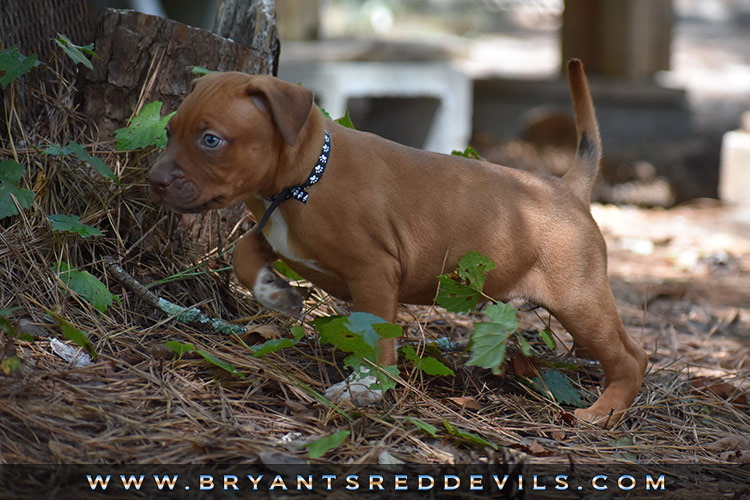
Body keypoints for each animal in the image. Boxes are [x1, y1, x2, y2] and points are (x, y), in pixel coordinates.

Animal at [150, 57, 648, 426]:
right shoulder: (276, 233)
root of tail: (566, 187)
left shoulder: (374, 273)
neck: (305, 178)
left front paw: (365, 389)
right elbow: (243, 254)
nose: (155, 180)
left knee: (632, 357)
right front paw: (276, 294)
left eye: (211, 140)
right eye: (169, 131)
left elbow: (376, 337)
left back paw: (602, 412)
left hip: (579, 299)